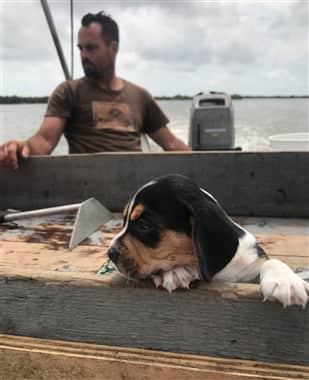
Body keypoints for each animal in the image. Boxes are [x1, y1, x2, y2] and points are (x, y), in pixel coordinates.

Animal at [106, 174, 308, 308]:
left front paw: (286, 282)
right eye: (124, 221)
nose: (110, 253)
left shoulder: (250, 265)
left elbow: (271, 261)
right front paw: (175, 272)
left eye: (144, 225)